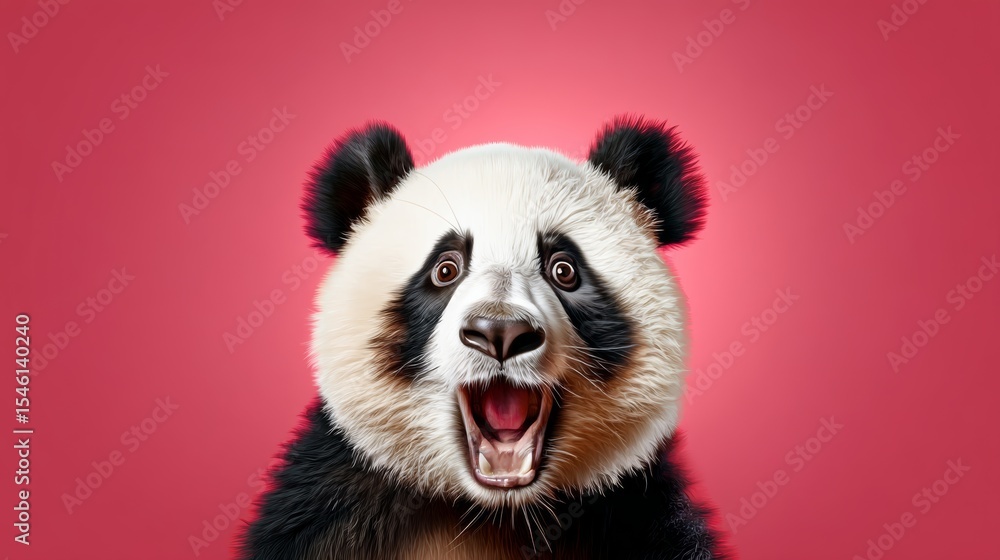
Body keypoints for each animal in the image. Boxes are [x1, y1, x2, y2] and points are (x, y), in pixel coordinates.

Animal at [238, 116, 729, 559]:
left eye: (564, 269)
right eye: (445, 268)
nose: (501, 332)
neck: (498, 513)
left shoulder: (640, 520)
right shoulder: (332, 512)